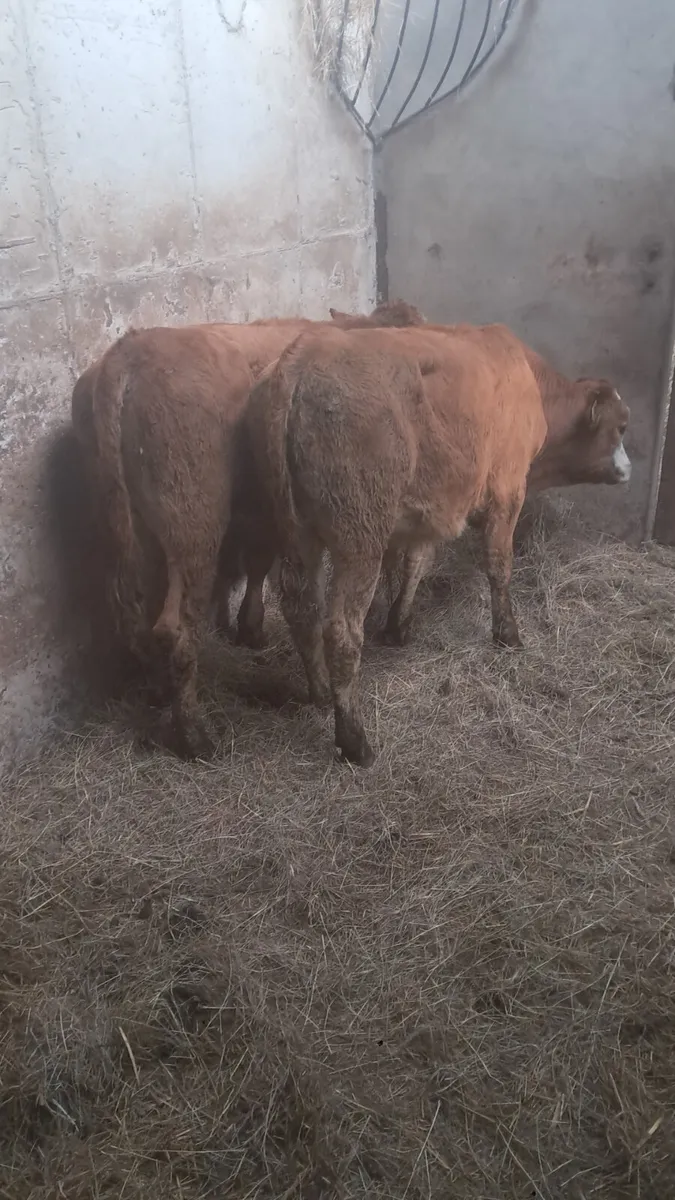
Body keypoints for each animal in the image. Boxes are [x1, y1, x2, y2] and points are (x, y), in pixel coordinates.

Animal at [72, 303, 423, 758]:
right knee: (176, 628)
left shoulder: (265, 512)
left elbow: (259, 566)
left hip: (125, 526)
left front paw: (249, 627)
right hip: (192, 525)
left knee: (132, 613)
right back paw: (195, 737)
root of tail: (125, 356)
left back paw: (159, 691)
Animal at [246, 323, 630, 768]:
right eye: (621, 426)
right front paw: (508, 634)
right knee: (341, 630)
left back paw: (321, 692)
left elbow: (416, 562)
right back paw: (355, 740)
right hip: (359, 538)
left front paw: (398, 624)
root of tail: (300, 359)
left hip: (293, 533)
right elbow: (499, 565)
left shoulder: (429, 508)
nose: (628, 470)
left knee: (301, 609)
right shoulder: (507, 490)